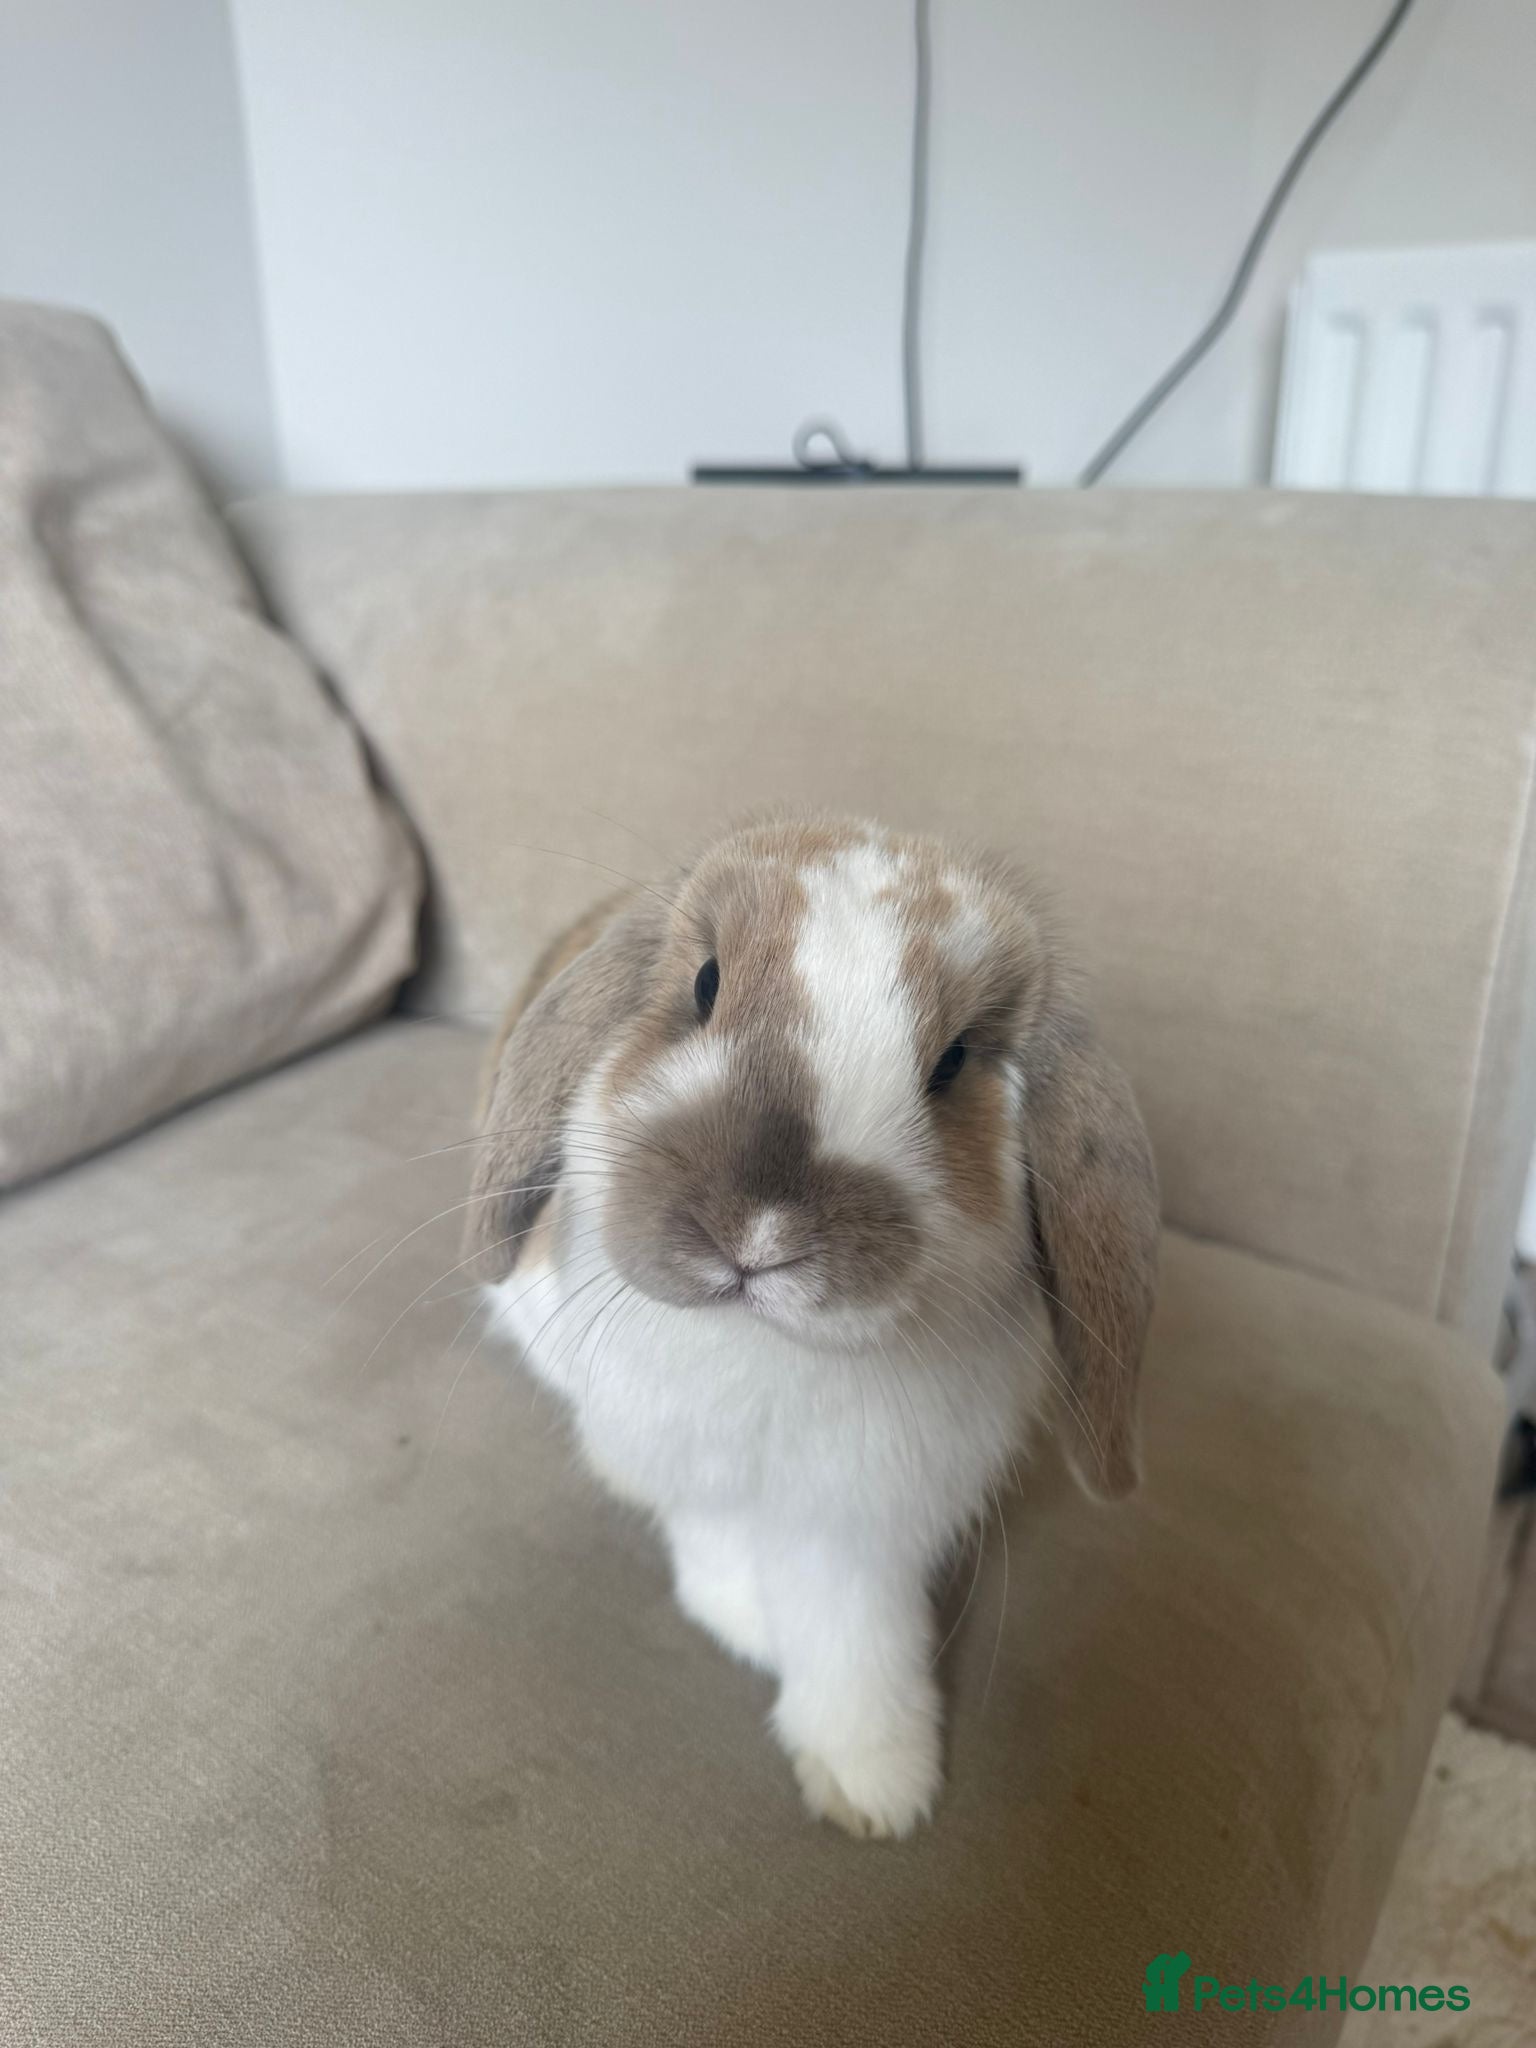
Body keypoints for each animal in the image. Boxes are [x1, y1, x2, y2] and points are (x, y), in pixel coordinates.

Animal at [465, 814, 1158, 1839]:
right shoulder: (687, 1458)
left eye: (954, 1061)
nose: (760, 1231)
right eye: (705, 983)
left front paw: (876, 1783)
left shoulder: (861, 1518)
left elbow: (853, 1635)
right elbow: (715, 1543)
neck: (765, 1355)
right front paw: (749, 1626)